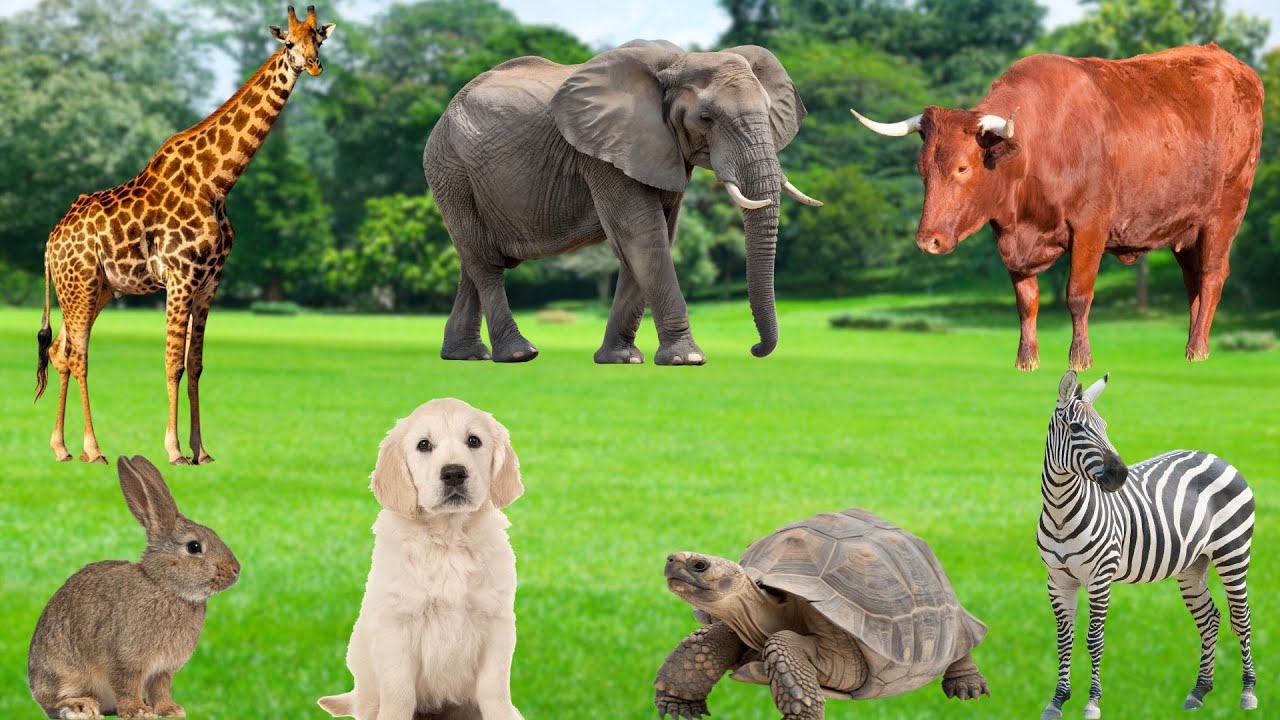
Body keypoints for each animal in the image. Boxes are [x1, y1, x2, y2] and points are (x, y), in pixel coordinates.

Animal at [34, 5, 335, 465]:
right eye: (288, 42)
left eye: (318, 39)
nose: (315, 66)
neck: (217, 183)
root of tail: (51, 241)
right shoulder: (179, 277)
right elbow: (173, 362)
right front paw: (174, 450)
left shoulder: (210, 281)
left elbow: (195, 364)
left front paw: (201, 451)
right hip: (80, 285)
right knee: (78, 354)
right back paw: (93, 449)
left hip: (93, 290)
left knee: (59, 352)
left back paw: (62, 448)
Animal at [423, 40, 820, 365]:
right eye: (706, 118)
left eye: (768, 112)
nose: (755, 350)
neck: (677, 61)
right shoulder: (607, 153)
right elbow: (643, 236)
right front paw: (687, 359)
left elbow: (652, 239)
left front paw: (621, 359)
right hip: (451, 170)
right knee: (485, 262)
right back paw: (518, 353)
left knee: (473, 260)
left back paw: (464, 355)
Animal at [1038, 371, 1256, 719]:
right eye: (1075, 429)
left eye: (1105, 426)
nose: (1120, 474)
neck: (1060, 512)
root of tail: (1218, 457)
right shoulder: (1057, 580)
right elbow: (1064, 639)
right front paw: (1057, 700)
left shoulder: (1100, 578)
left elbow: (1094, 638)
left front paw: (1092, 702)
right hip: (1194, 564)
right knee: (1210, 619)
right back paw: (1198, 692)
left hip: (1233, 554)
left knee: (1242, 618)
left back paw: (1248, 693)